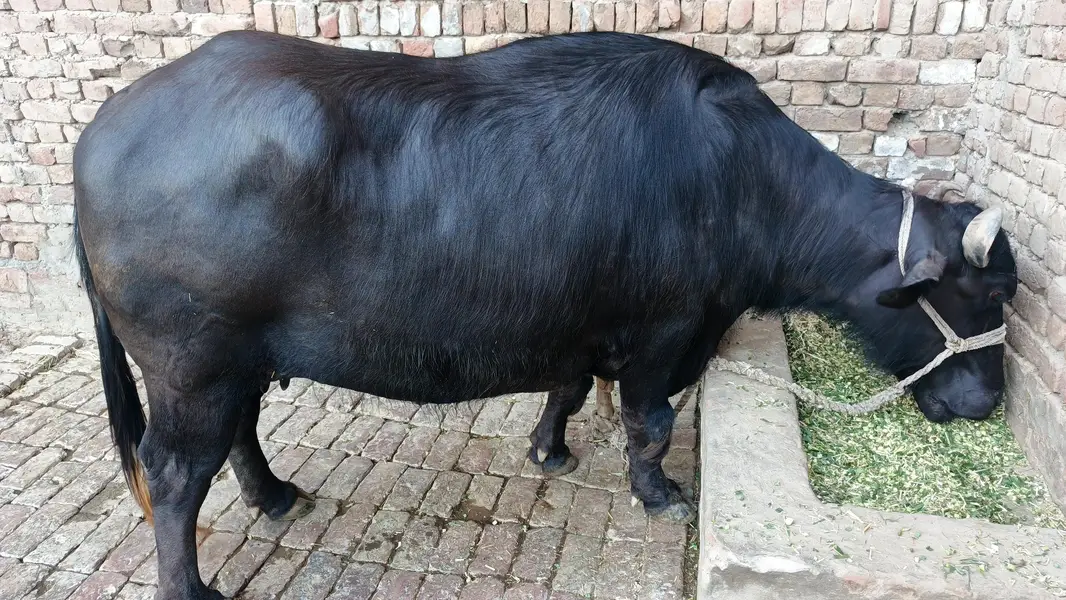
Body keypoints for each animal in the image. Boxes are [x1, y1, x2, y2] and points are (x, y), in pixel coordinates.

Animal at [72, 31, 1017, 600]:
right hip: (190, 367)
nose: (986, 403)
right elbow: (650, 425)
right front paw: (659, 494)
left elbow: (565, 390)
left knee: (237, 435)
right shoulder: (665, 335)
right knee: (172, 475)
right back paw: (192, 583)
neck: (739, 184)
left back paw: (274, 498)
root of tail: (100, 130)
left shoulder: (580, 328)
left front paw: (550, 450)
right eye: (986, 293)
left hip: (233, 363)